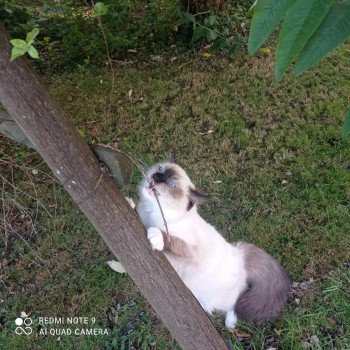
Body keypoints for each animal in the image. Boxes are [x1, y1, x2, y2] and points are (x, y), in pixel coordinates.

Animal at [134, 161, 290, 328]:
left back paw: (229, 323)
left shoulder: (191, 251)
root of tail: (240, 254)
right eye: (161, 170)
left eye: (171, 184)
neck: (151, 212)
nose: (157, 177)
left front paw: (156, 235)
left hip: (226, 298)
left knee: (235, 304)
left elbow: (171, 240)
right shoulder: (142, 215)